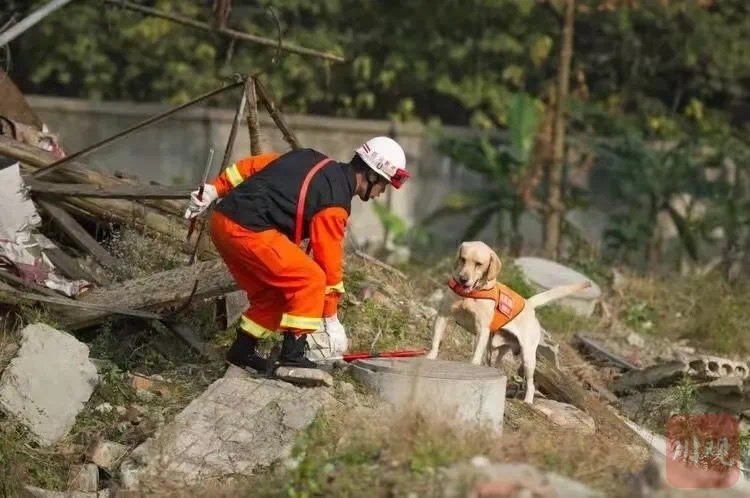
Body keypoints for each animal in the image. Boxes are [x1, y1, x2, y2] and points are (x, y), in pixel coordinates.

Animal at [428, 241, 592, 404]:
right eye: (463, 259)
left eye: (479, 264)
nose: (463, 279)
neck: (470, 295)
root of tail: (528, 304)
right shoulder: (443, 315)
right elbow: (435, 341)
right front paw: (430, 357)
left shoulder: (482, 330)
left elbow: (475, 357)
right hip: (498, 348)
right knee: (497, 364)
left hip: (527, 358)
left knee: (531, 384)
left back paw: (527, 401)